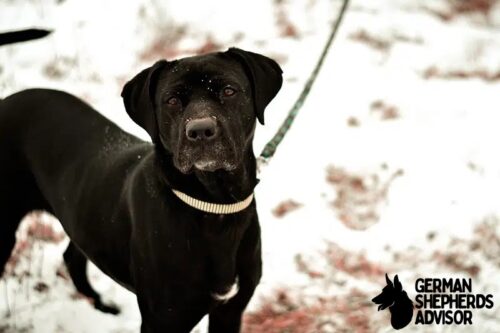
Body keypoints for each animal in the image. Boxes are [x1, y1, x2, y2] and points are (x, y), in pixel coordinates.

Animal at [0, 47, 282, 332]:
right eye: (171, 100)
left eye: (229, 90)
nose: (201, 130)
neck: (215, 207)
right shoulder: (162, 320)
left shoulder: (231, 310)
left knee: (72, 257)